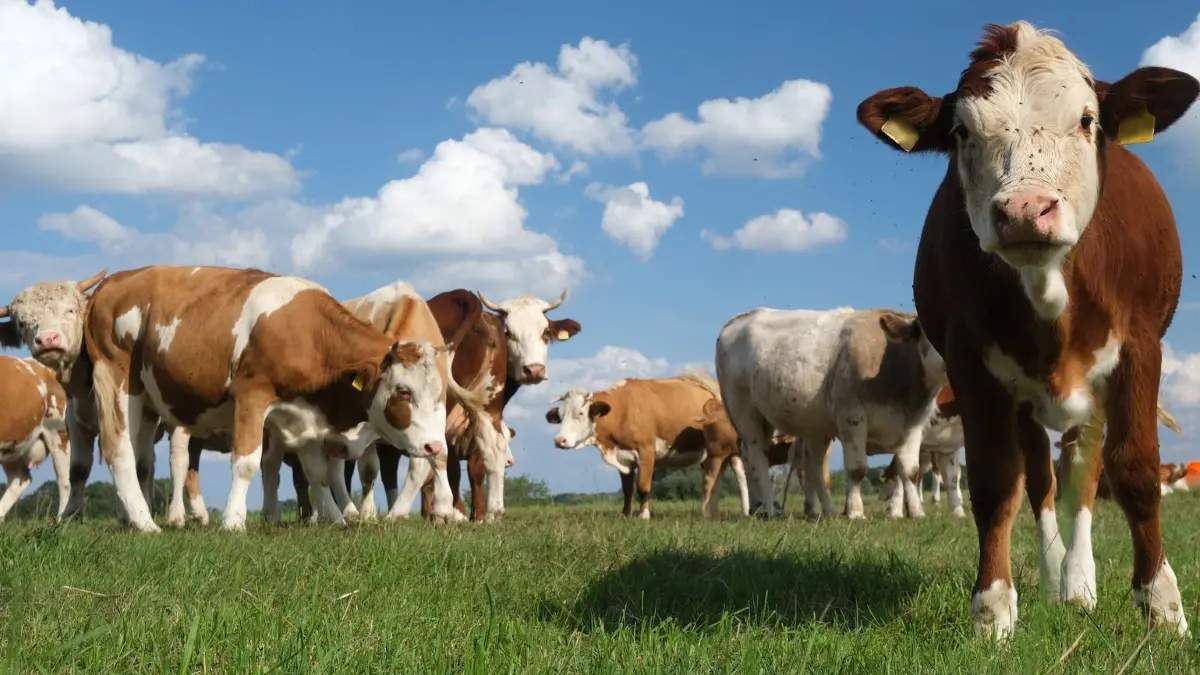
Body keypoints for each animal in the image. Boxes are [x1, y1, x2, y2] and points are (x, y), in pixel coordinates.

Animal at [81, 265, 488, 532]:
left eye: (441, 395)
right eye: (403, 391)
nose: (434, 446)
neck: (311, 333)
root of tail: (113, 281)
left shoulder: (304, 418)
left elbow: (317, 473)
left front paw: (335, 518)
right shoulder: (251, 395)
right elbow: (247, 462)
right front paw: (233, 522)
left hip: (149, 401)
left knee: (142, 459)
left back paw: (131, 516)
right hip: (116, 379)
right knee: (119, 450)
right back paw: (146, 523)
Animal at [544, 371, 724, 519]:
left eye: (580, 413)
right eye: (560, 415)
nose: (560, 440)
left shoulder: (646, 451)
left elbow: (643, 486)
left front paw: (643, 515)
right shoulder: (624, 458)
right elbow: (627, 489)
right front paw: (625, 514)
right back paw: (711, 512)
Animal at [715, 306, 949, 522]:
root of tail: (740, 318)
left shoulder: (914, 424)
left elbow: (911, 471)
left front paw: (917, 512)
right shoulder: (852, 416)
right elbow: (857, 469)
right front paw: (856, 512)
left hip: (806, 423)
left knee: (811, 465)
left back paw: (819, 510)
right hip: (744, 410)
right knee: (757, 457)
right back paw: (771, 509)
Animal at [855, 20, 1197, 637]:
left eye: (1086, 120)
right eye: (962, 131)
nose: (1024, 210)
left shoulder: (1140, 349)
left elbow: (1134, 471)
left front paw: (1162, 607)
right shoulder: (972, 364)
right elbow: (997, 482)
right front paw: (992, 610)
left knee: (1083, 472)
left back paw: (1081, 584)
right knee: (1041, 477)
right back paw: (1055, 577)